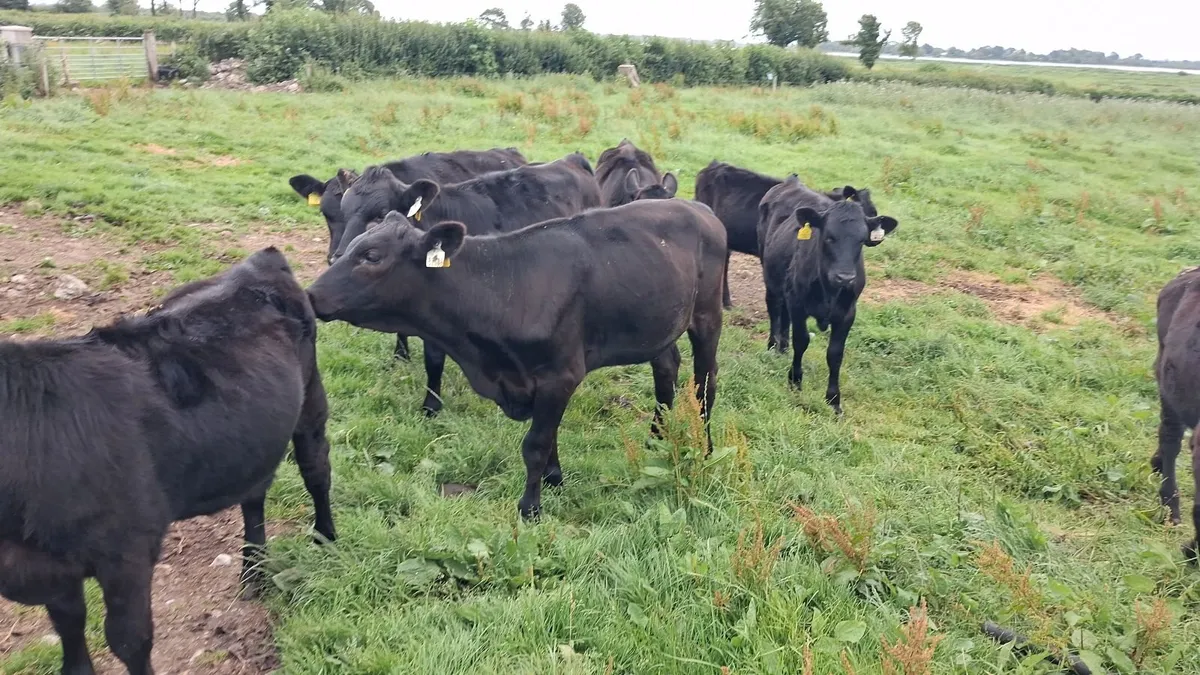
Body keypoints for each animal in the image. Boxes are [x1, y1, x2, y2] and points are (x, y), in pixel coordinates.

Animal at [0, 247, 336, 675]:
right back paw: (252, 576)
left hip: (311, 399)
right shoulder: (52, 570)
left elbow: (129, 639)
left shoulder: (127, 554)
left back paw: (326, 538)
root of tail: (261, 258)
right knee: (253, 496)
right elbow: (69, 630)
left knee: (316, 469)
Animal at [306, 199, 725, 520]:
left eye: (371, 255)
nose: (311, 295)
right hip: (657, 320)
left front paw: (530, 508)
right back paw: (655, 439)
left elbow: (535, 443)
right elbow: (549, 436)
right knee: (665, 368)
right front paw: (555, 480)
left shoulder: (560, 374)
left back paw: (704, 449)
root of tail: (698, 207)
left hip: (706, 315)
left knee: (705, 383)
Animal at [334, 152, 603, 417]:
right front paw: (401, 358)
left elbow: (434, 360)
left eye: (380, 215)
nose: (337, 258)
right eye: (342, 213)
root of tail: (571, 159)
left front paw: (431, 407)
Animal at [758, 177, 898, 415]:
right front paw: (795, 382)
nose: (844, 277)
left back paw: (782, 347)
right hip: (769, 275)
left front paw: (833, 400)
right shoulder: (798, 304)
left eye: (861, 240)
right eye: (829, 237)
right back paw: (772, 345)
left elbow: (835, 354)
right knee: (774, 309)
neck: (829, 290)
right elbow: (802, 341)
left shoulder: (847, 312)